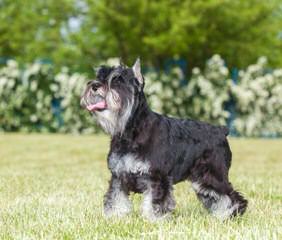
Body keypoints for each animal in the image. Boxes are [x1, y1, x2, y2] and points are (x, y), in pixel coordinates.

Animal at [80, 59, 247, 220]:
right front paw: (114, 218)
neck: (130, 131)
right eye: (99, 76)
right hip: (203, 180)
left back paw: (230, 216)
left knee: (232, 197)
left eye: (118, 80)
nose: (94, 85)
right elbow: (116, 199)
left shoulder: (157, 177)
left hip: (214, 176)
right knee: (217, 197)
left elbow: (155, 202)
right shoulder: (118, 177)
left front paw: (154, 220)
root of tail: (221, 130)